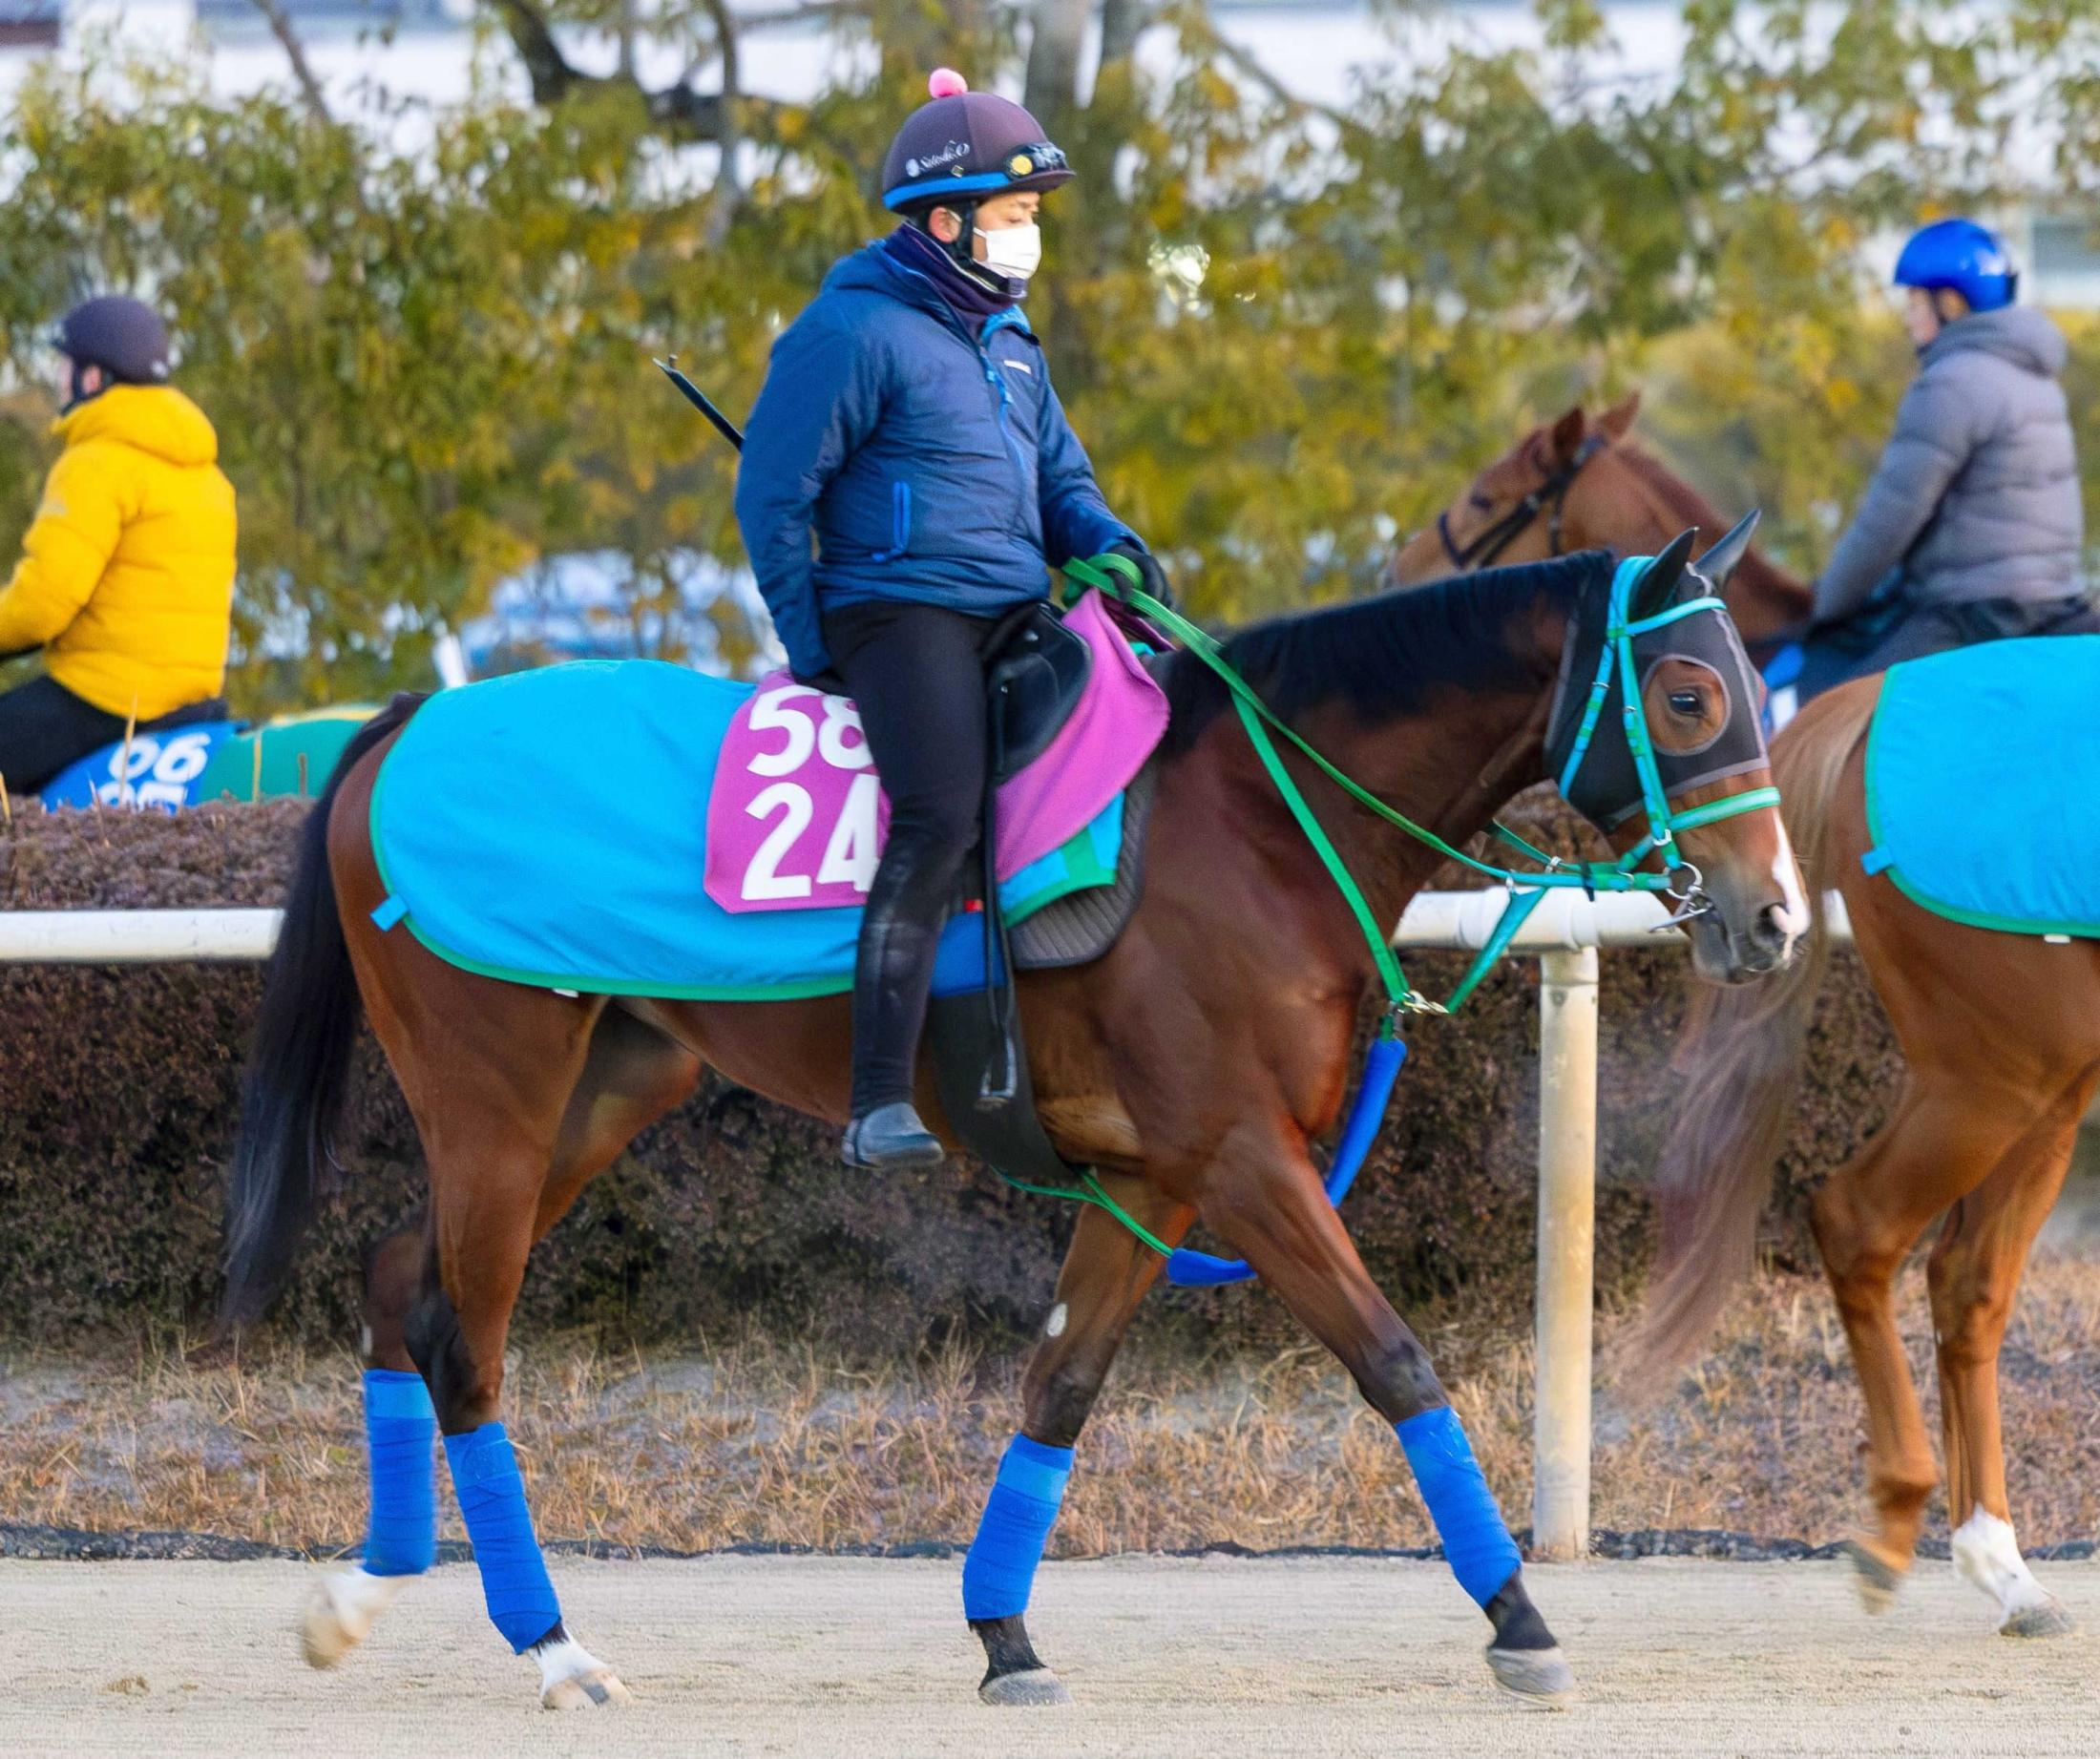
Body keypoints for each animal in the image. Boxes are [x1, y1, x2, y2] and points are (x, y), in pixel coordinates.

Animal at [225, 545, 1806, 1712]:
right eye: (1684, 693)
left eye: (1754, 687)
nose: (1774, 915)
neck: (1255, 828)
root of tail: (397, 725)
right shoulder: (1244, 1158)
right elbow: (1396, 1360)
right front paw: (1522, 1616)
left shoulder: (1151, 1181)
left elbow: (1060, 1388)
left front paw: (1005, 1634)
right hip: (495, 1095)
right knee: (468, 1340)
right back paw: (553, 1644)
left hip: (599, 1089)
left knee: (397, 1277)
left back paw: (361, 1588)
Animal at [1638, 680, 2100, 1645]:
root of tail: (1872, 696)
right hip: (2000, 1069)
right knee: (1860, 1222)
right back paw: (1898, 1515)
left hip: (2046, 1082)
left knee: (1966, 1280)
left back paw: (2005, 1568)